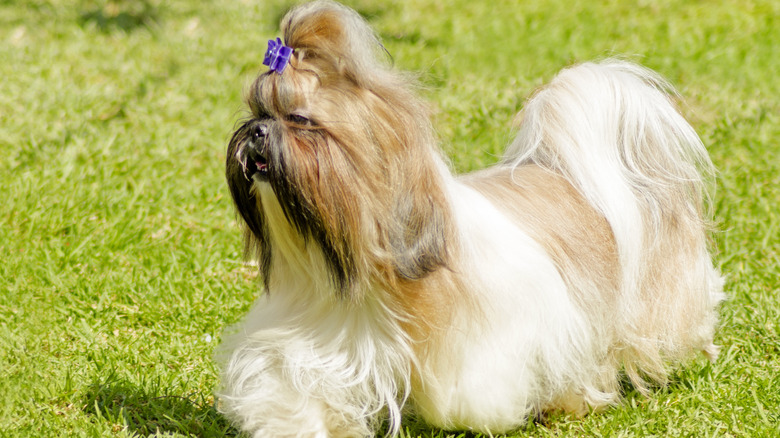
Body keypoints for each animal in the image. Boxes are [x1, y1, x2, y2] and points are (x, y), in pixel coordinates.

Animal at [215, 2, 724, 434]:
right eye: (257, 112)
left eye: (300, 121)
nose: (255, 131)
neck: (369, 270)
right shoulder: (315, 334)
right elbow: (292, 386)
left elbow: (470, 389)